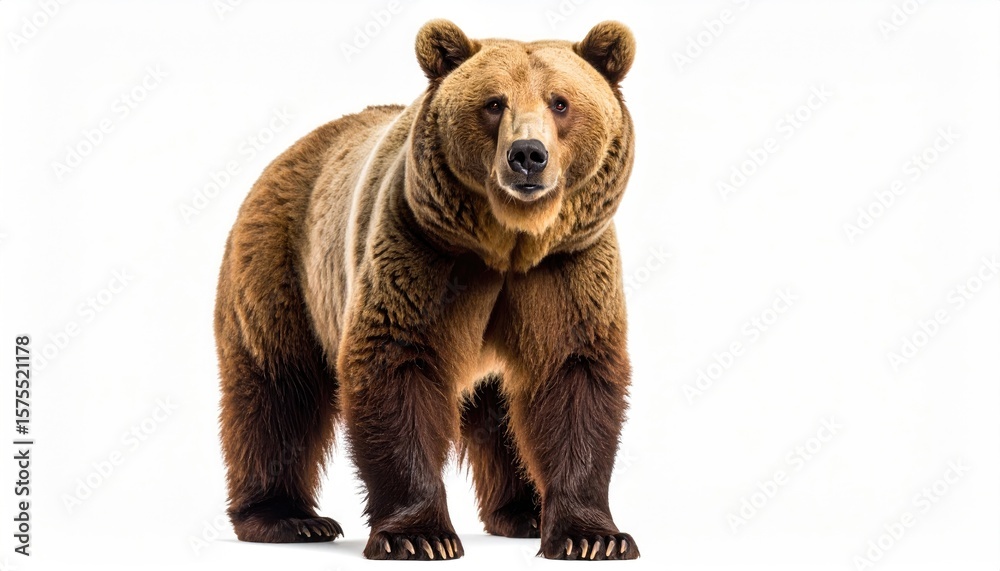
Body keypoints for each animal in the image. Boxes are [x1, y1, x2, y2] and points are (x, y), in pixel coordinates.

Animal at [214, 19, 638, 561]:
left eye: (560, 102)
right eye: (494, 102)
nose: (527, 155)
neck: (508, 244)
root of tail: (288, 153)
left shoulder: (567, 267)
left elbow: (573, 374)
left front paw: (592, 537)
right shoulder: (420, 249)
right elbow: (397, 365)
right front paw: (420, 536)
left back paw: (523, 513)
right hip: (282, 265)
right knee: (278, 390)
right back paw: (287, 518)